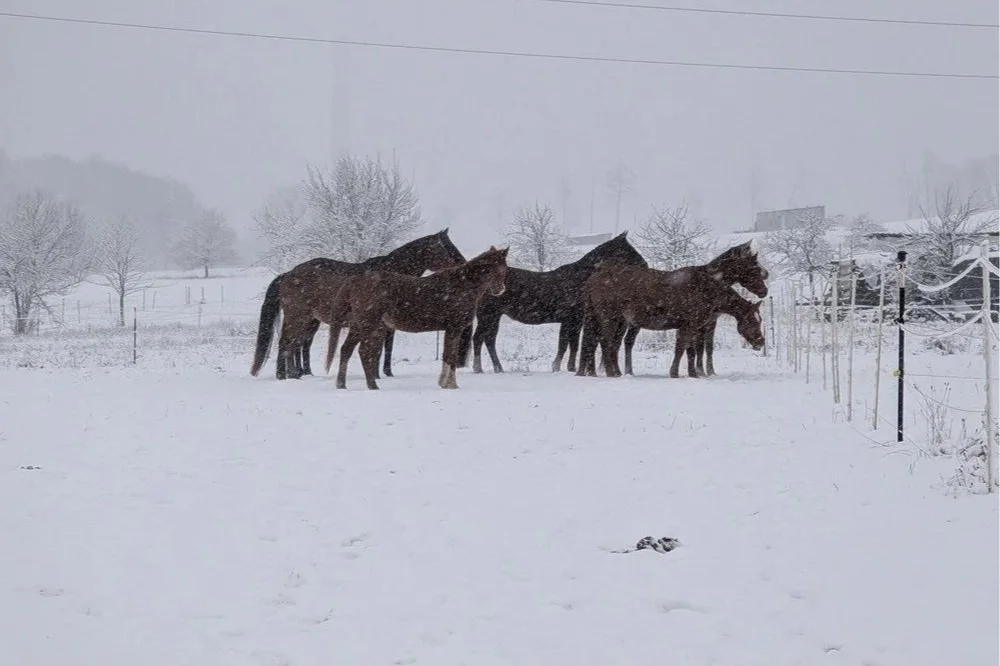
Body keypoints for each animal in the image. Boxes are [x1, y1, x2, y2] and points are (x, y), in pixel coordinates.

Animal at [249, 229, 466, 380]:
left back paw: (295, 374)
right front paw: (378, 374)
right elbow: (378, 349)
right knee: (286, 343)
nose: (463, 264)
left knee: (294, 344)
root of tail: (288, 274)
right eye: (447, 248)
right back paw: (284, 376)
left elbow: (386, 349)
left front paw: (386, 373)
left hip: (307, 319)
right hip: (298, 317)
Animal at [327, 246, 509, 390]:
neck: (462, 285)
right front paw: (450, 385)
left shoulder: (449, 329)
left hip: (357, 326)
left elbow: (447, 355)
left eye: (504, 268)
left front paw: (444, 383)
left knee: (346, 350)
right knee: (364, 352)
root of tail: (355, 280)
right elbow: (450, 356)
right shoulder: (454, 328)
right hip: (368, 325)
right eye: (497, 268)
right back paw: (373, 386)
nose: (500, 290)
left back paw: (341, 385)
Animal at [471, 231, 648, 375]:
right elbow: (567, 344)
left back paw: (497, 368)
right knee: (479, 338)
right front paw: (561, 367)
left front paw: (567, 367)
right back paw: (479, 368)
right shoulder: (571, 319)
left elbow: (570, 344)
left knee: (489, 340)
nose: (645, 266)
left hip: (494, 316)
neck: (581, 279)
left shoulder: (574, 321)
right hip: (488, 315)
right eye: (629, 250)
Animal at [576, 262, 765, 379]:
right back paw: (610, 373)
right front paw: (675, 373)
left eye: (760, 320)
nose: (761, 342)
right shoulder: (688, 326)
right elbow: (681, 349)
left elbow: (690, 351)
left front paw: (693, 374)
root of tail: (593, 278)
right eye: (753, 321)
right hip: (610, 319)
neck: (705, 288)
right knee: (606, 343)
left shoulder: (691, 327)